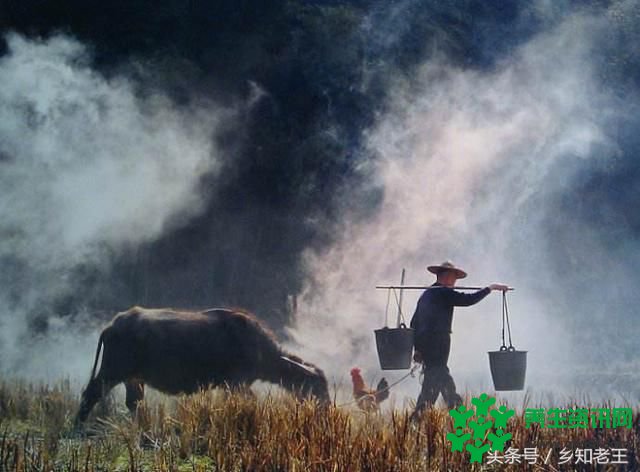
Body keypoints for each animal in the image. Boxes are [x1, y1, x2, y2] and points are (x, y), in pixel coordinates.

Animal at [75, 306, 330, 424]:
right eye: (318, 387)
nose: (327, 407)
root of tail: (113, 325)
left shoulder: (233, 385)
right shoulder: (237, 383)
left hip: (133, 378)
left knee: (133, 403)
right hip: (112, 371)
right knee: (91, 393)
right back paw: (78, 425)